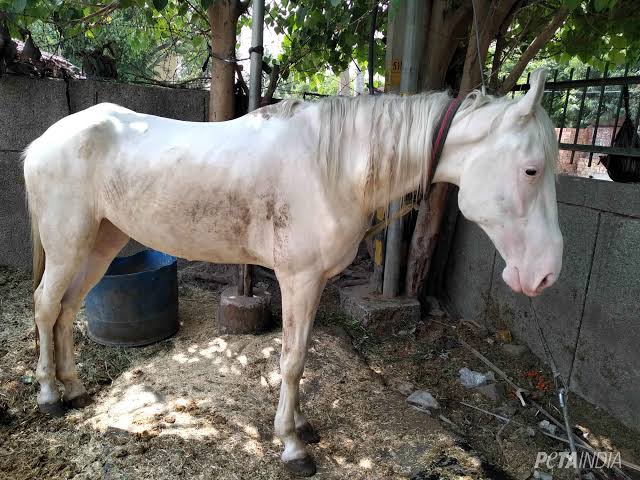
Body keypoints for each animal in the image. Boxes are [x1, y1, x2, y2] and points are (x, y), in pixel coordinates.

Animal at [23, 67, 560, 476]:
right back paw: (49, 394)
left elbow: (300, 356)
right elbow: (293, 361)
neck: (333, 168)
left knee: (67, 308)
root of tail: (42, 142)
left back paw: (73, 388)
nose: (546, 275)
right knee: (46, 306)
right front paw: (292, 446)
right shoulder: (297, 279)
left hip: (100, 241)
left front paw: (301, 427)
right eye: (532, 169)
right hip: (69, 243)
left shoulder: (314, 281)